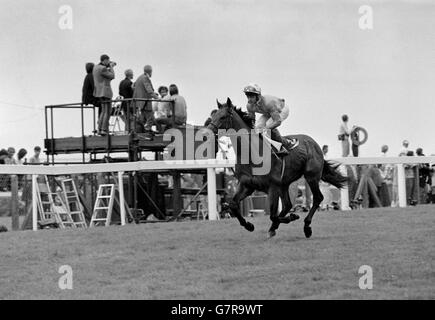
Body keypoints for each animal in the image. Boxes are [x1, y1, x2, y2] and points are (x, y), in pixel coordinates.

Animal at [208, 99, 348, 239]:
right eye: (213, 116)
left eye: (223, 117)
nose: (208, 132)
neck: (252, 153)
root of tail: (314, 143)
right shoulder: (246, 185)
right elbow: (233, 205)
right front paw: (249, 225)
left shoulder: (272, 186)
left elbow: (272, 215)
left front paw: (293, 216)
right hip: (284, 184)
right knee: (287, 205)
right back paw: (274, 228)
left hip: (311, 176)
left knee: (317, 198)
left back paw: (306, 227)